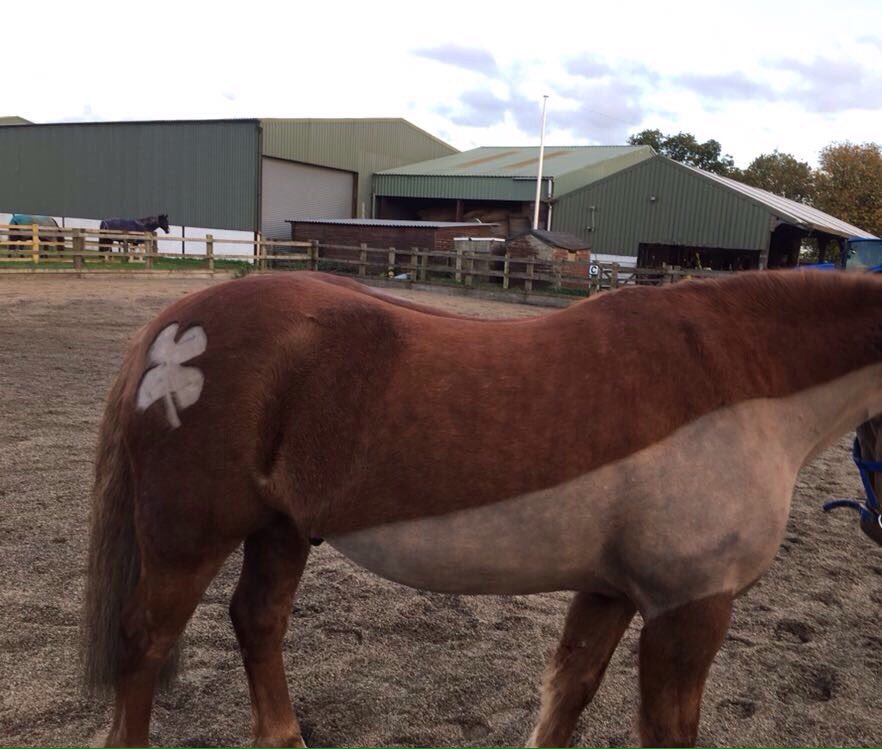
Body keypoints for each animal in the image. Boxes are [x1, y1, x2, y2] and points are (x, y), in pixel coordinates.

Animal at [82, 269, 882, 747]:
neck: (744, 385)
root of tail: (174, 324)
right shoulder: (689, 609)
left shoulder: (613, 590)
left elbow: (568, 691)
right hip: (188, 539)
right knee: (144, 641)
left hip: (279, 530)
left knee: (256, 621)